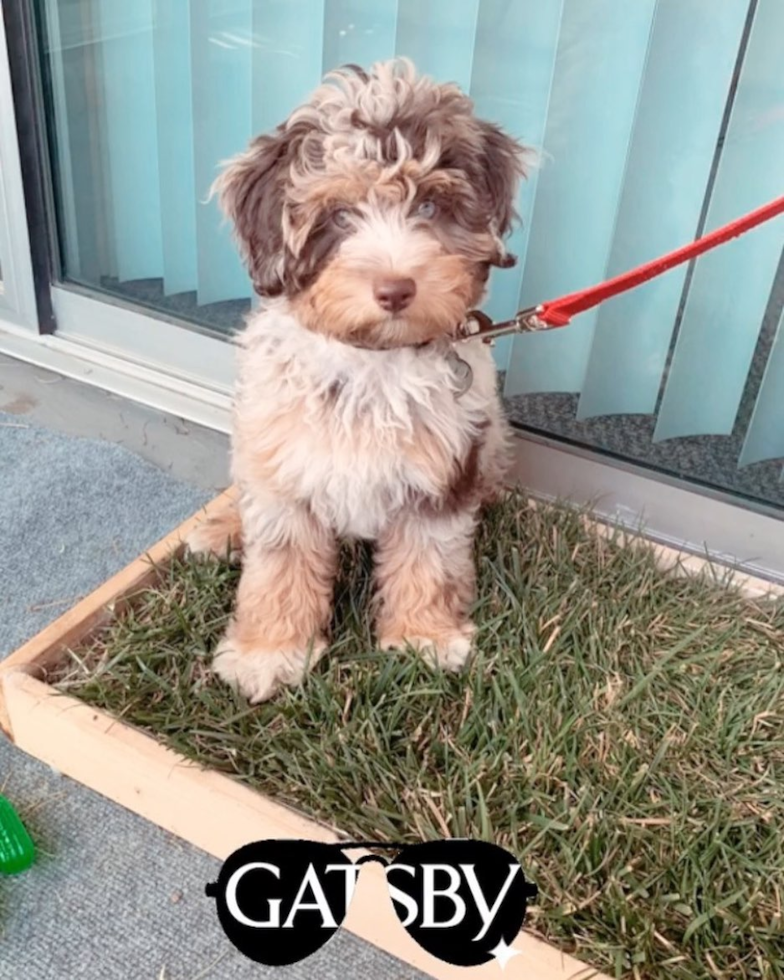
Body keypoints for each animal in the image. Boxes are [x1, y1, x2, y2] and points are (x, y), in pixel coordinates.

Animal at [189, 59, 528, 704]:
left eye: (430, 207)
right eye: (340, 215)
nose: (395, 289)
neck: (374, 358)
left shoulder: (442, 469)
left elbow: (429, 554)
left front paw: (423, 636)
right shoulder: (284, 466)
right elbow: (279, 565)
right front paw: (269, 652)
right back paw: (221, 528)